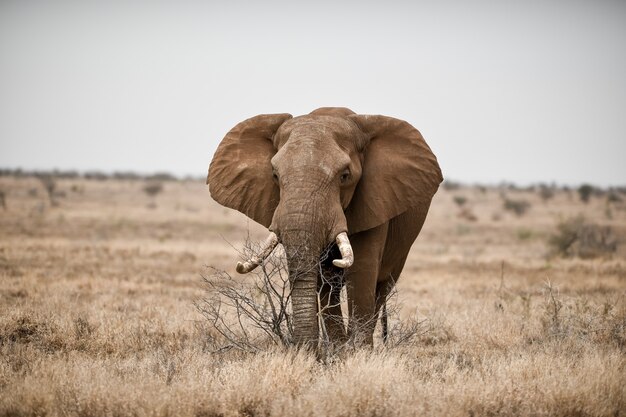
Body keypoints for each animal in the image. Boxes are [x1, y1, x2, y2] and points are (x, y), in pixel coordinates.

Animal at [207, 106, 442, 344]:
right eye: (274, 175)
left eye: (345, 176)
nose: (305, 348)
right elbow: (324, 280)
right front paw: (337, 350)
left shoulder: (374, 201)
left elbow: (362, 269)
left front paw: (357, 352)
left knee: (382, 286)